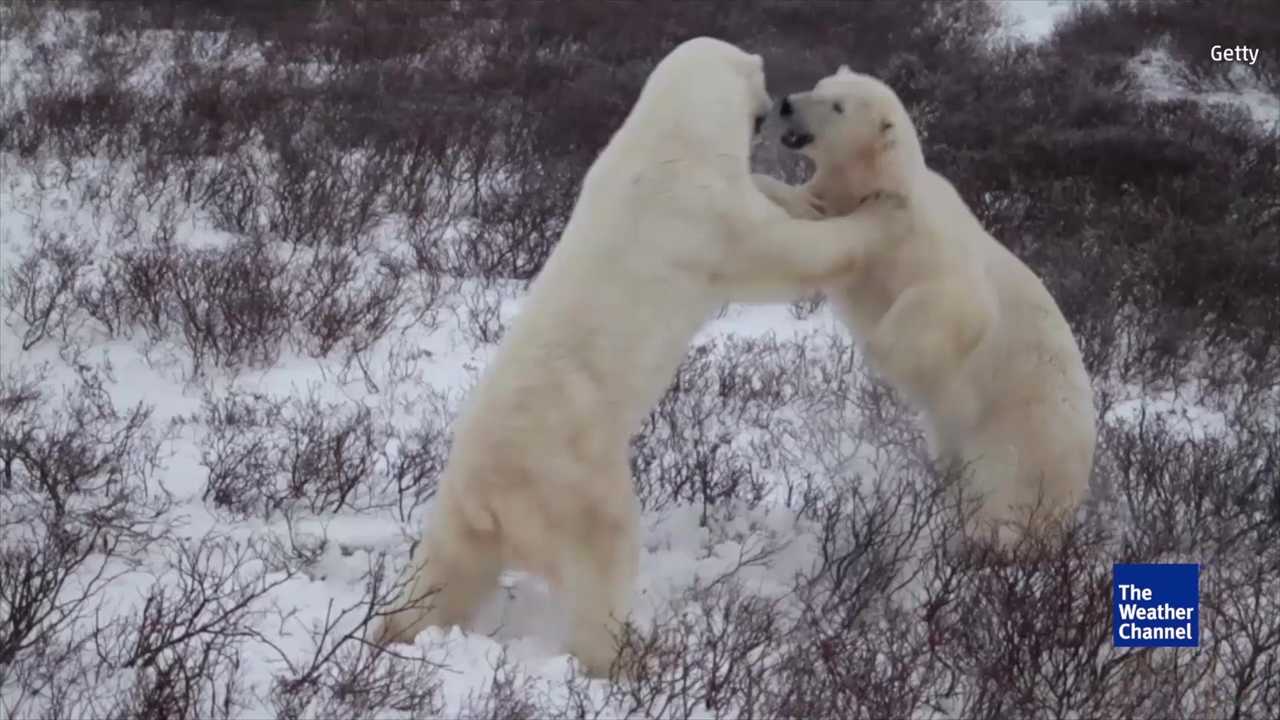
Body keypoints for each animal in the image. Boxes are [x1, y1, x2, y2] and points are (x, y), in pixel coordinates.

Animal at [370, 41, 910, 676]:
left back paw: (392, 632)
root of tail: (492, 500)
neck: (667, 139)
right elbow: (780, 252)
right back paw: (629, 658)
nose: (775, 104)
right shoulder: (704, 214)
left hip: (454, 509)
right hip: (579, 488)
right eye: (759, 76)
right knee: (602, 568)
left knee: (442, 575)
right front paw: (878, 214)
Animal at [753, 65, 1096, 551]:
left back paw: (983, 535)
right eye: (820, 87)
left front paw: (882, 350)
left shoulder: (923, 240)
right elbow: (805, 214)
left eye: (838, 106)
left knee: (1003, 485)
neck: (884, 184)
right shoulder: (838, 208)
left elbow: (956, 300)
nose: (786, 105)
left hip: (1021, 429)